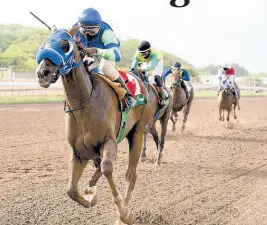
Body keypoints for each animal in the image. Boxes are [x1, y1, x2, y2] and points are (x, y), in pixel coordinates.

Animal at [35, 28, 152, 225]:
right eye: (44, 43)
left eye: (64, 44)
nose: (43, 72)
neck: (84, 103)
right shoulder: (79, 152)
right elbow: (71, 190)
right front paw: (91, 197)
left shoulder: (109, 141)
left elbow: (107, 168)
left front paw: (123, 212)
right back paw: (91, 185)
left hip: (137, 132)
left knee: (130, 174)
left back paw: (123, 212)